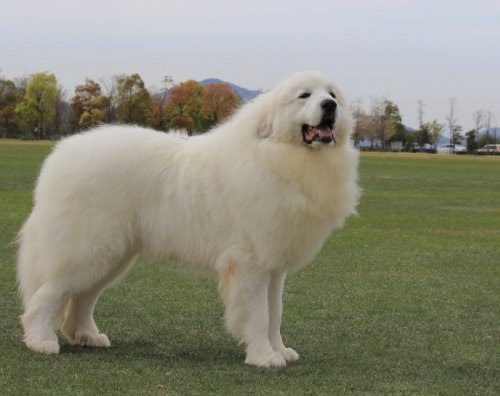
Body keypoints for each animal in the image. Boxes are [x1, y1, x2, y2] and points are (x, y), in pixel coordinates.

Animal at [16, 71, 360, 368]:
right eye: (304, 96)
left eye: (332, 95)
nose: (330, 106)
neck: (277, 153)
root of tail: (60, 155)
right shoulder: (250, 263)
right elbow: (258, 315)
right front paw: (264, 357)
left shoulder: (274, 266)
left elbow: (274, 314)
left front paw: (280, 350)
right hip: (87, 250)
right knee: (47, 296)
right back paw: (40, 340)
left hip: (111, 256)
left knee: (82, 298)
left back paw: (86, 335)